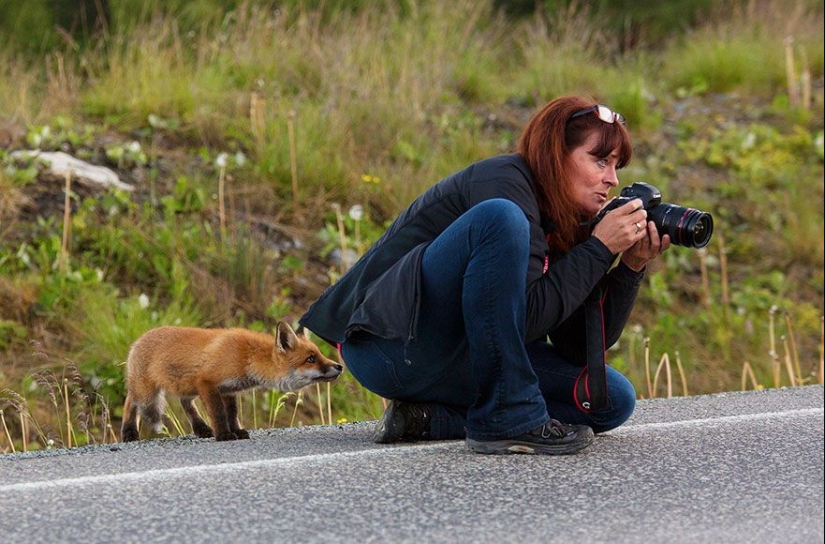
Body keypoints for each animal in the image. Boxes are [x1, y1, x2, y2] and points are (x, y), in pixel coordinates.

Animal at [119, 324, 342, 442]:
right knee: (130, 402)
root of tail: (139, 338)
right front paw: (224, 434)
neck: (246, 357)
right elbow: (218, 413)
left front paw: (236, 431)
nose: (339, 366)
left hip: (187, 387)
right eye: (310, 359)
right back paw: (129, 432)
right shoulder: (208, 382)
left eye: (319, 355)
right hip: (147, 394)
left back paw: (201, 429)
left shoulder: (228, 390)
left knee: (186, 403)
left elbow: (232, 414)